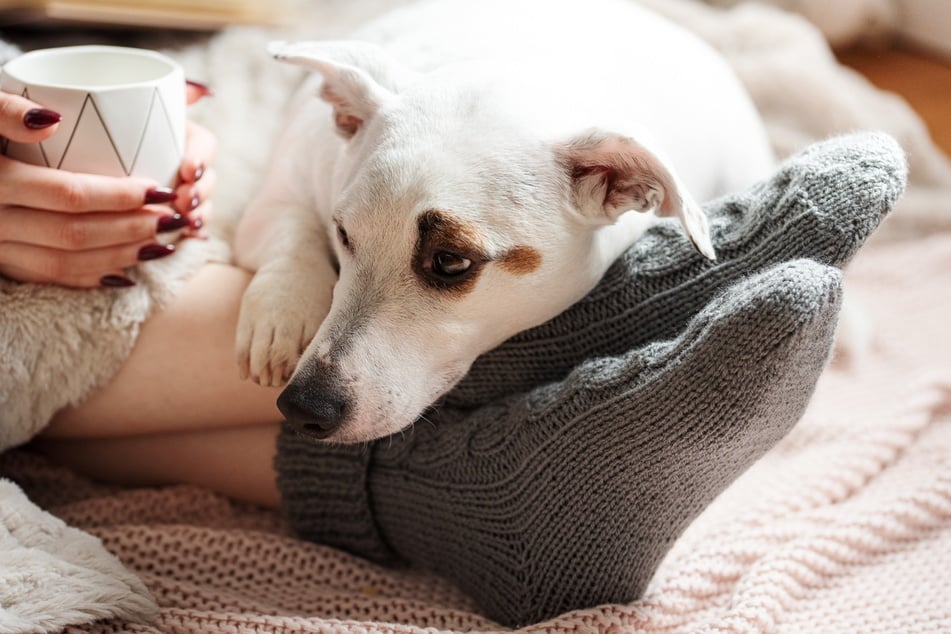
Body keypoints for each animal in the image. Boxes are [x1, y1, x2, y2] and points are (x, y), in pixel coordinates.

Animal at [234, 0, 776, 442]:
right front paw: (282, 313)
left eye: (451, 262)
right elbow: (291, 233)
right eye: (343, 234)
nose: (304, 408)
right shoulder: (274, 198)